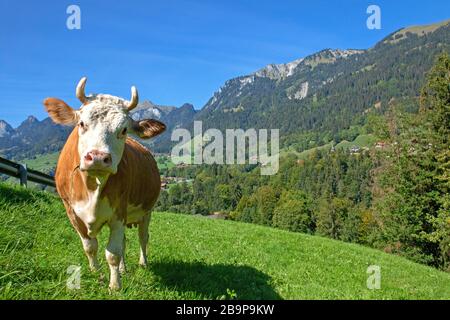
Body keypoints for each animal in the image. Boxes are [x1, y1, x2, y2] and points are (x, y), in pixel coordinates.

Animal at [43, 77, 166, 290]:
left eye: (124, 130)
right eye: (81, 123)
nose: (99, 157)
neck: (92, 186)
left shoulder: (118, 213)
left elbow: (113, 253)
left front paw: (115, 286)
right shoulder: (71, 211)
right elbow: (90, 247)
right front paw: (97, 275)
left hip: (146, 211)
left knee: (143, 237)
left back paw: (143, 263)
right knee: (125, 241)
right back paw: (124, 269)